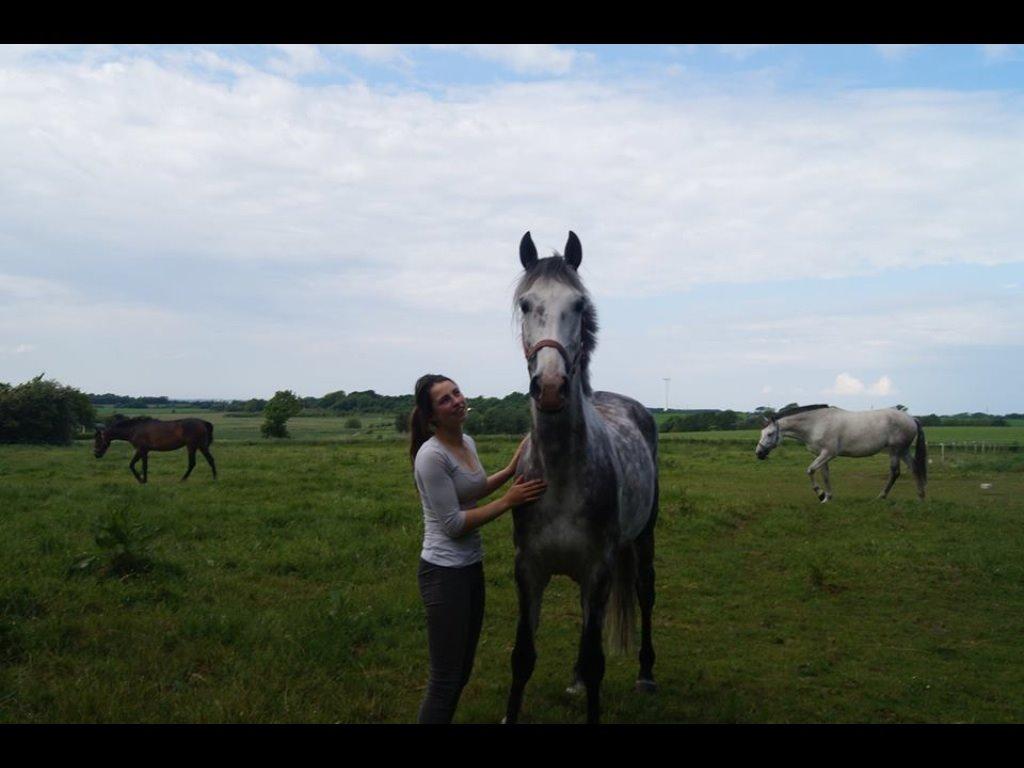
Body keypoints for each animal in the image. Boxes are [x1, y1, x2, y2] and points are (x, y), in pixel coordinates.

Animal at [501, 231, 655, 724]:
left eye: (579, 304)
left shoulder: (599, 570)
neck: (562, 474)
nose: (550, 388)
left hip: (644, 536)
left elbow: (596, 658)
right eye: (527, 303)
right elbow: (523, 656)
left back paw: (647, 673)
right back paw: (575, 680)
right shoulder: (528, 569)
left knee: (645, 593)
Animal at [753, 403, 929, 505]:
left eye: (769, 434)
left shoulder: (828, 453)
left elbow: (810, 470)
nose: (759, 453)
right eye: (762, 433)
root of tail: (912, 419)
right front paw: (827, 498)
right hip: (903, 450)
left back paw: (881, 497)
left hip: (895, 450)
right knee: (914, 468)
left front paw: (820, 494)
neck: (816, 423)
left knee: (895, 472)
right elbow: (825, 475)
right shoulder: (822, 455)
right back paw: (920, 497)